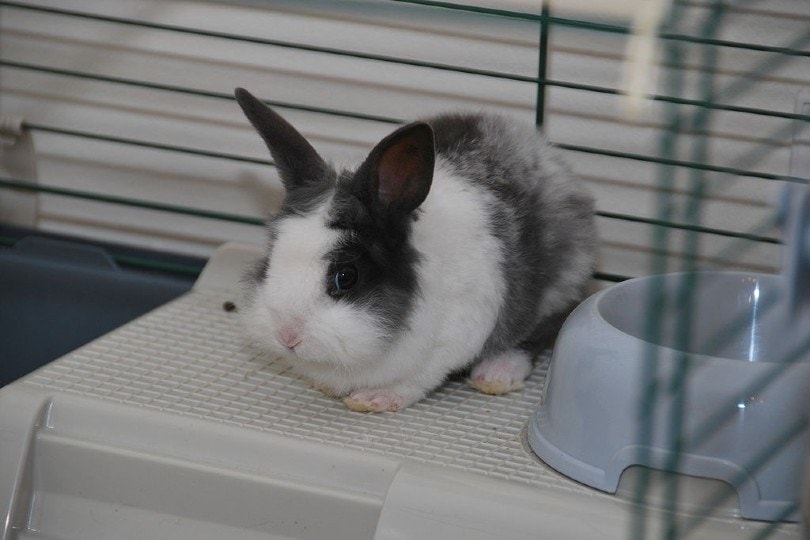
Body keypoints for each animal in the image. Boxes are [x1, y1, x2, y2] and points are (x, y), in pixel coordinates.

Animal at [235, 87, 597, 412]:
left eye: (346, 276)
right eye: (269, 261)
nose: (286, 335)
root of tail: (543, 151)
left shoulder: (450, 340)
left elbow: (417, 380)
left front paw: (375, 399)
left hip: (556, 288)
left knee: (539, 332)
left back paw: (496, 373)